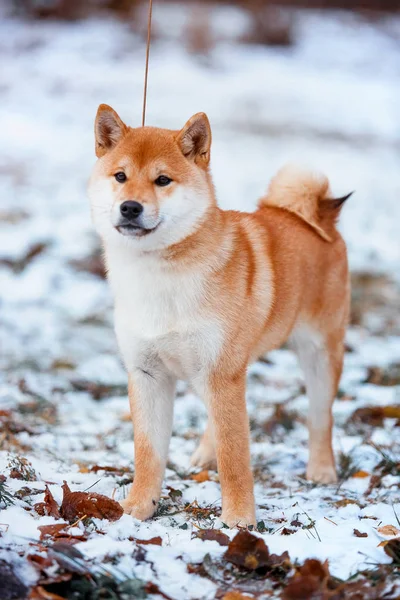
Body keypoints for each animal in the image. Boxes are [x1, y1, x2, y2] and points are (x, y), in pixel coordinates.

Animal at [88, 105, 350, 528]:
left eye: (163, 180)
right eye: (121, 176)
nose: (130, 207)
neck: (160, 278)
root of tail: (316, 218)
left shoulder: (221, 372)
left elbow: (236, 458)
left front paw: (239, 519)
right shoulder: (148, 373)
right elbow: (148, 454)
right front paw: (138, 507)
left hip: (318, 356)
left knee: (319, 417)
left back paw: (322, 469)